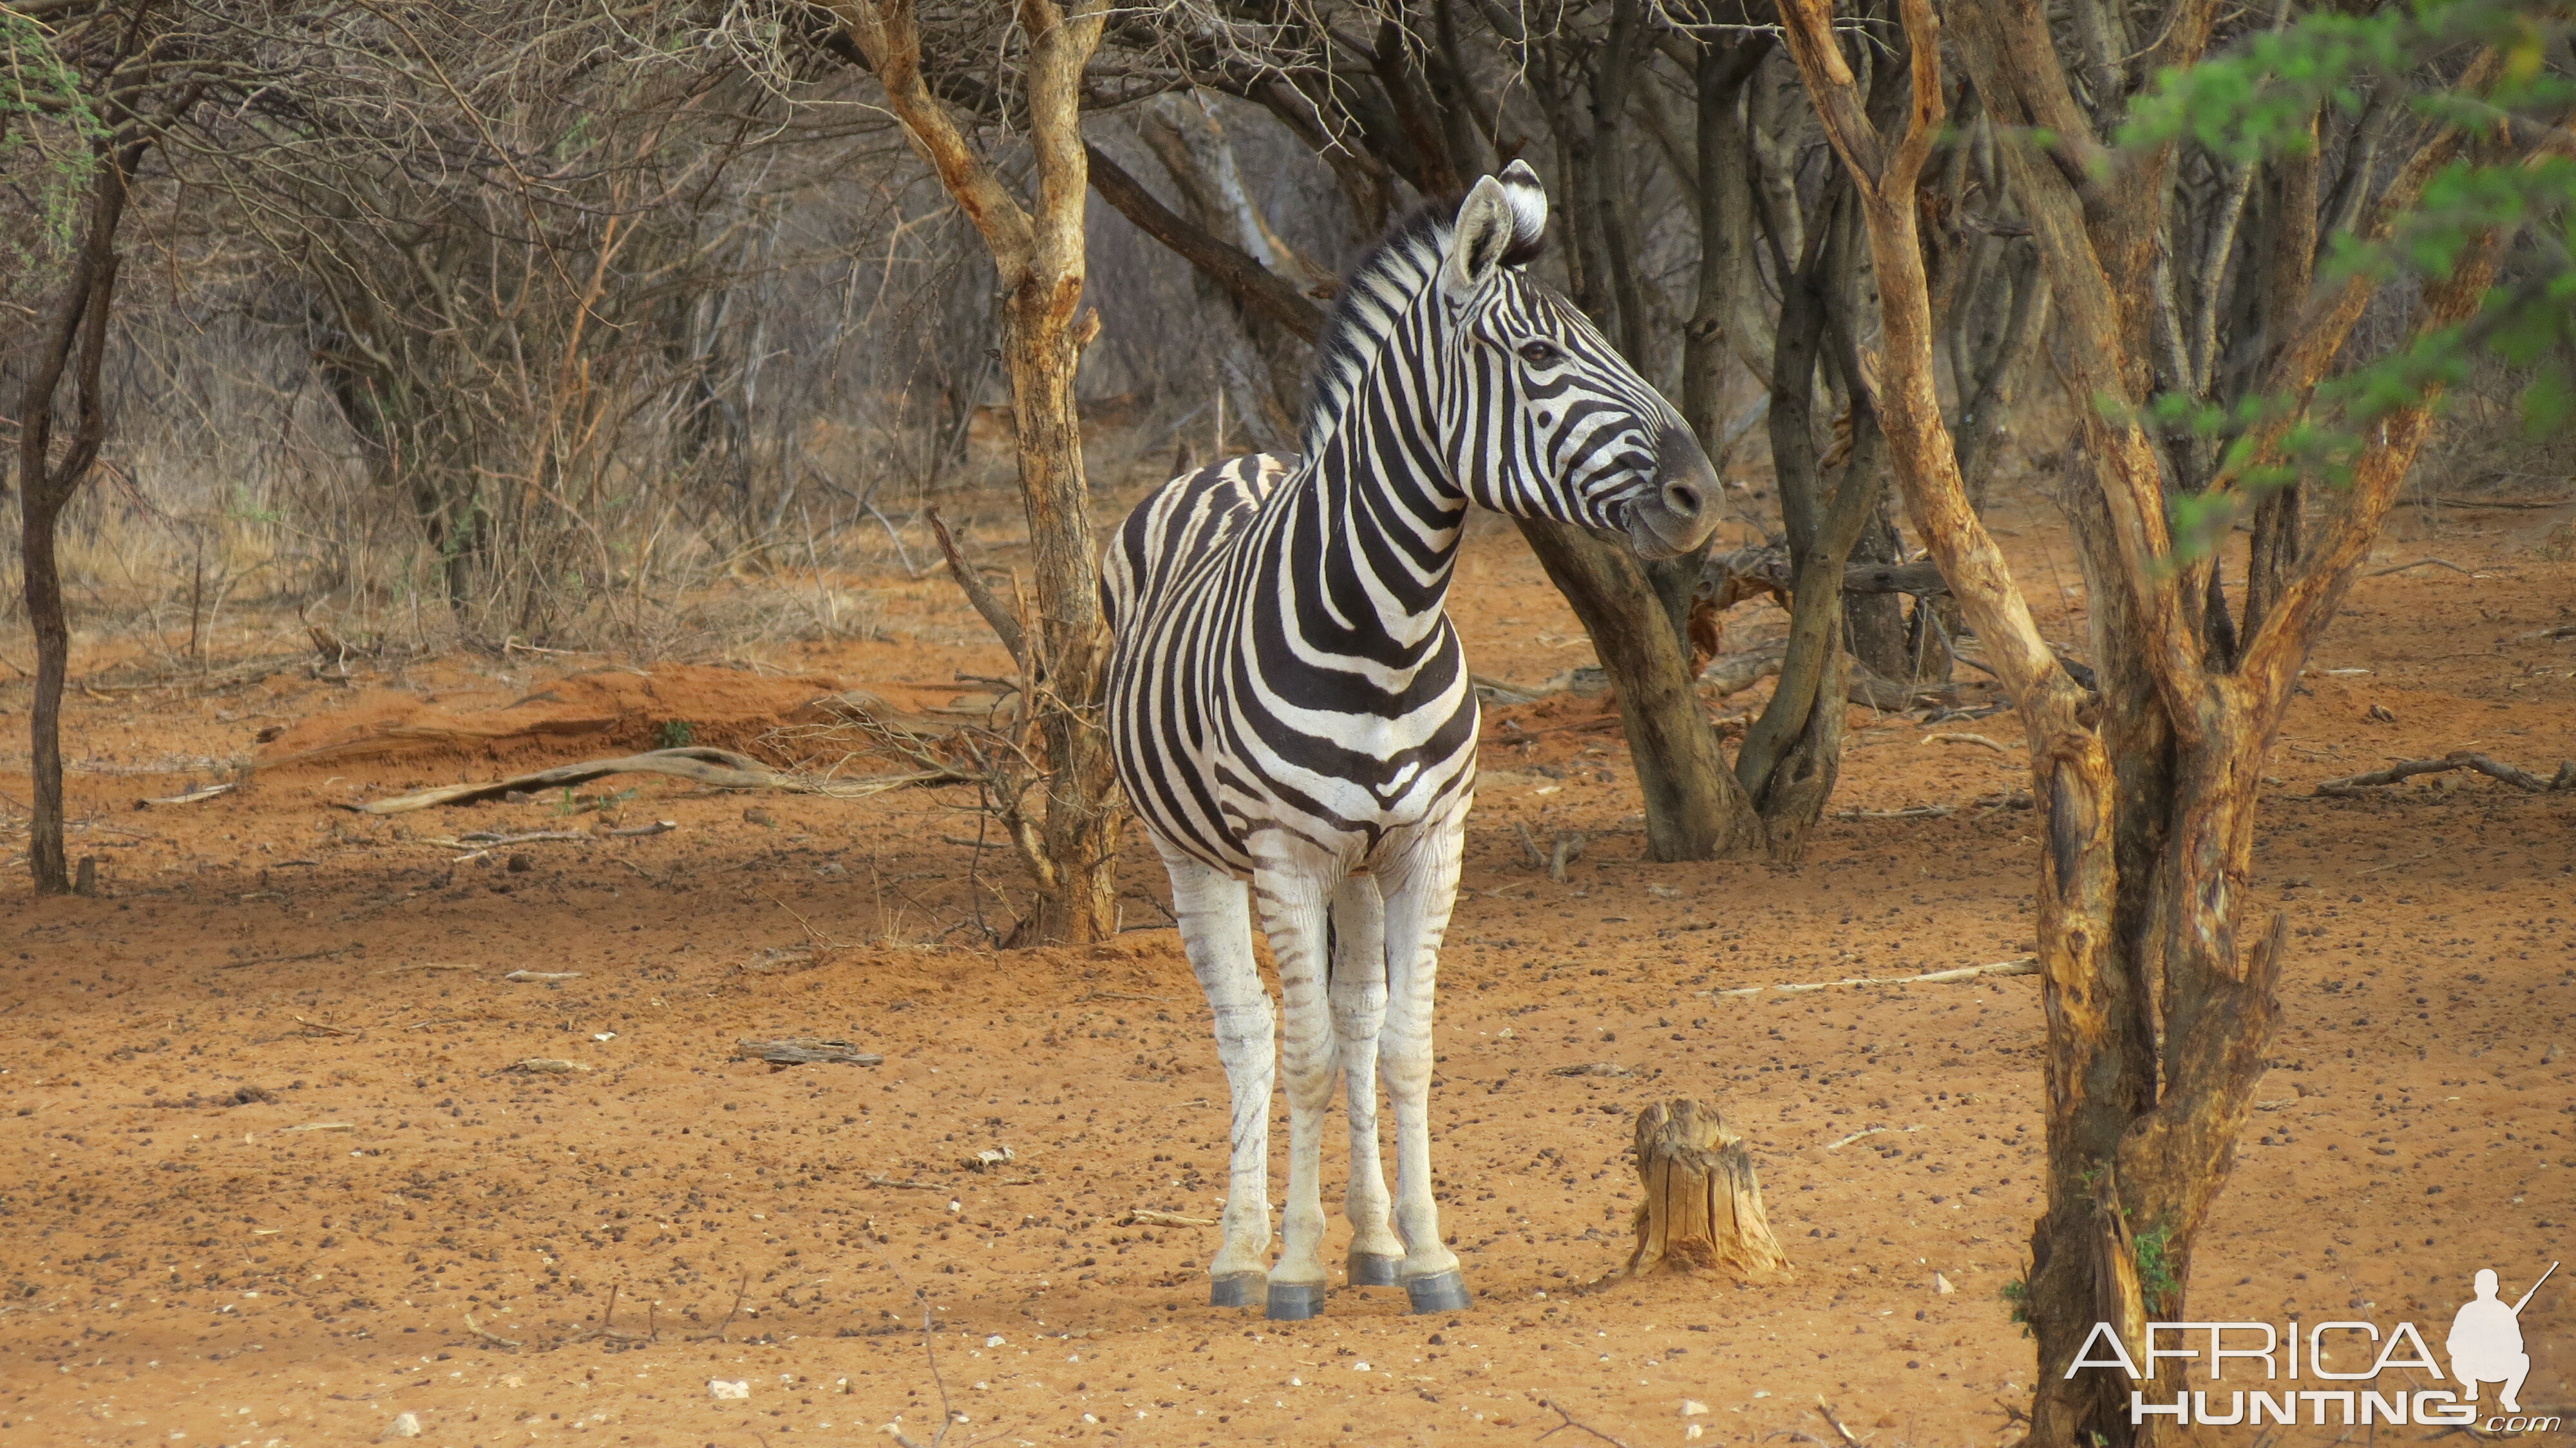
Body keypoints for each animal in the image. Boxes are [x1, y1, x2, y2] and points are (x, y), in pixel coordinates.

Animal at [1103, 160, 1721, 1319]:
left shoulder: (1429, 844)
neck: (1381, 628)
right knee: (1249, 1029)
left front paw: (1424, 1252)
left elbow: (1401, 1049)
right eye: (1539, 358)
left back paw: (1374, 1239)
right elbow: (1302, 1054)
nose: (1699, 495)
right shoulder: (1287, 855)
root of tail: (1236, 460)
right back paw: (1242, 1253)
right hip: (1193, 851)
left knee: (1353, 1019)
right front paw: (1297, 1268)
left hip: (1359, 860)